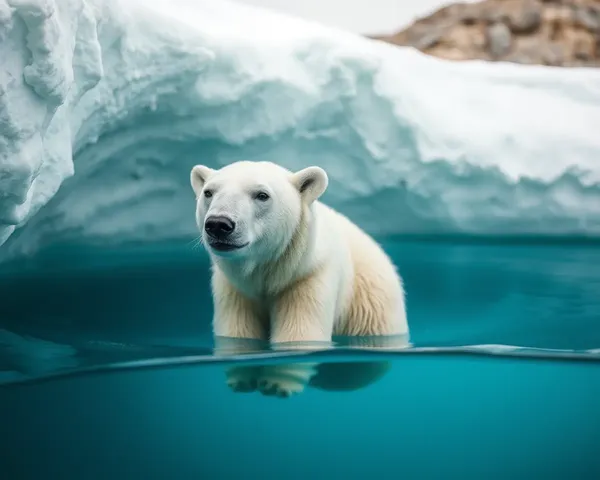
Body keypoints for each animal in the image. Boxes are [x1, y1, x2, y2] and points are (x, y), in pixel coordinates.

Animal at [190, 161, 410, 398]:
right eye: (208, 192)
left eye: (262, 195)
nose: (218, 224)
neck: (271, 271)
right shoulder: (234, 290)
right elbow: (238, 332)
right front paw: (243, 378)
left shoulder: (308, 277)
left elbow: (299, 334)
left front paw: (276, 383)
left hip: (370, 310)